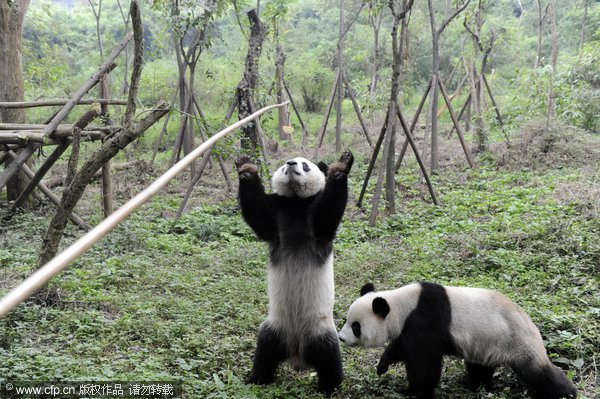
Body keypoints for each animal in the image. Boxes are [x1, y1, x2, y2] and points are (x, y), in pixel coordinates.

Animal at [236, 151, 356, 396]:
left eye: (305, 165)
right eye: (285, 164)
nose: (291, 164)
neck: (296, 201)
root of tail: (297, 354)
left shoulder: (315, 223)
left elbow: (326, 217)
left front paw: (340, 167)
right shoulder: (278, 213)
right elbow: (260, 218)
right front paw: (246, 168)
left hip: (320, 329)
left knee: (330, 357)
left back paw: (330, 388)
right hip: (275, 327)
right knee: (264, 351)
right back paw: (256, 379)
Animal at [338, 282, 576, 398]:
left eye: (356, 326)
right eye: (346, 320)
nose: (341, 338)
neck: (401, 305)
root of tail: (533, 326)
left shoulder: (424, 321)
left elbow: (424, 364)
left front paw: (412, 392)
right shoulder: (408, 327)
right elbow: (400, 347)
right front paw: (382, 366)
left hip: (516, 341)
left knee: (538, 372)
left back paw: (568, 393)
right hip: (486, 344)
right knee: (479, 366)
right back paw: (477, 385)